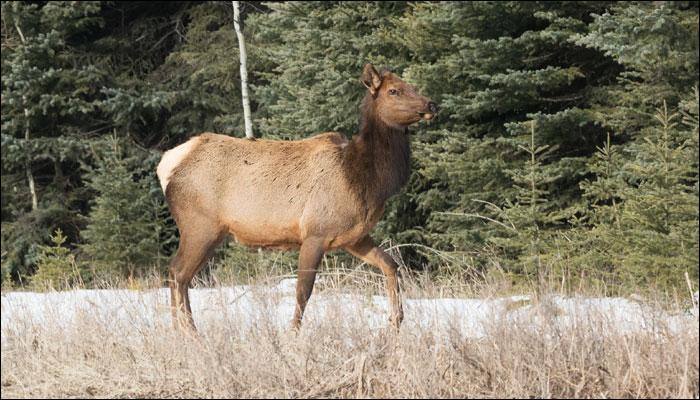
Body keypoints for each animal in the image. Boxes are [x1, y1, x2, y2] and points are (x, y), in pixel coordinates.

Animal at [160, 63, 438, 332]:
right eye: (394, 91)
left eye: (410, 85)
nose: (431, 104)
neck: (362, 179)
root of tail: (166, 165)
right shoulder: (315, 233)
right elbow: (303, 291)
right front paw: (292, 334)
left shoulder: (354, 237)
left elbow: (391, 265)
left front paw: (396, 321)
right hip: (200, 226)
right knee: (179, 272)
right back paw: (189, 332)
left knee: (175, 273)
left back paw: (177, 330)